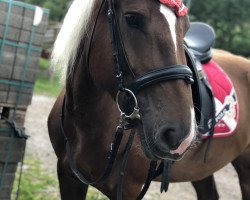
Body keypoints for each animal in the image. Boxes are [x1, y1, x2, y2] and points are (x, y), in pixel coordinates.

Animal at [47, 0, 250, 198]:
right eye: (132, 18)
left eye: (185, 28)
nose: (181, 135)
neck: (85, 122)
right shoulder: (68, 177)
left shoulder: (129, 188)